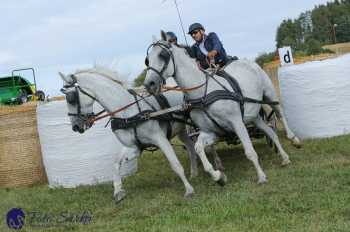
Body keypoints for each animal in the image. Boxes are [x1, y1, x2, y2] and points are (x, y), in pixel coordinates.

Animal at [58, 65, 198, 203]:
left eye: (70, 98)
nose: (75, 127)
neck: (127, 113)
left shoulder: (160, 139)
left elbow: (175, 164)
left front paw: (189, 190)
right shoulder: (132, 146)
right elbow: (117, 163)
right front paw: (118, 191)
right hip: (181, 130)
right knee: (190, 146)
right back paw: (194, 173)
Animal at [144, 31, 302, 187]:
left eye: (162, 55)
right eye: (147, 60)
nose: (149, 84)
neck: (203, 94)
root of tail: (248, 62)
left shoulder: (237, 123)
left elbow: (249, 151)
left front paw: (261, 176)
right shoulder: (211, 131)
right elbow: (199, 148)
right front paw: (218, 176)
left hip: (269, 94)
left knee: (279, 113)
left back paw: (294, 139)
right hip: (253, 115)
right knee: (270, 132)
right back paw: (285, 158)